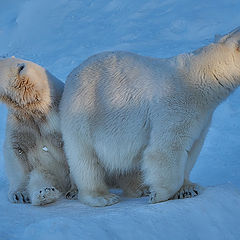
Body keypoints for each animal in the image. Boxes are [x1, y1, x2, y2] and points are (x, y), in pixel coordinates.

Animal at [0, 57, 73, 205]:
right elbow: (16, 149)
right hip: (46, 170)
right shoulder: (21, 121)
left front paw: (75, 190)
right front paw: (19, 194)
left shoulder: (55, 117)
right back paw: (45, 193)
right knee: (39, 178)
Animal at [60, 25, 240, 206]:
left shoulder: (202, 118)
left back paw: (139, 187)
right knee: (85, 159)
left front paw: (188, 188)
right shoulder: (175, 107)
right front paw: (159, 195)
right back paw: (102, 196)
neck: (200, 78)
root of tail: (70, 78)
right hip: (85, 113)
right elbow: (166, 149)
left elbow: (193, 148)